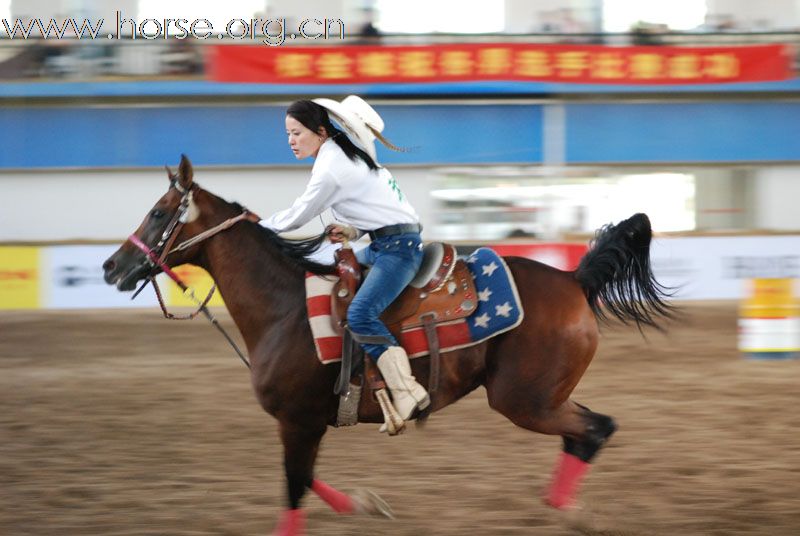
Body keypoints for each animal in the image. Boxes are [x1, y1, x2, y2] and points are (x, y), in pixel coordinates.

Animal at [101, 154, 676, 532]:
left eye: (158, 212)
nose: (111, 267)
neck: (284, 309)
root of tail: (574, 279)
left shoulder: (298, 421)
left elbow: (294, 488)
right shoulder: (305, 424)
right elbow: (306, 479)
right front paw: (364, 504)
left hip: (525, 400)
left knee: (596, 429)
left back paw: (571, 512)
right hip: (544, 396)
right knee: (588, 433)